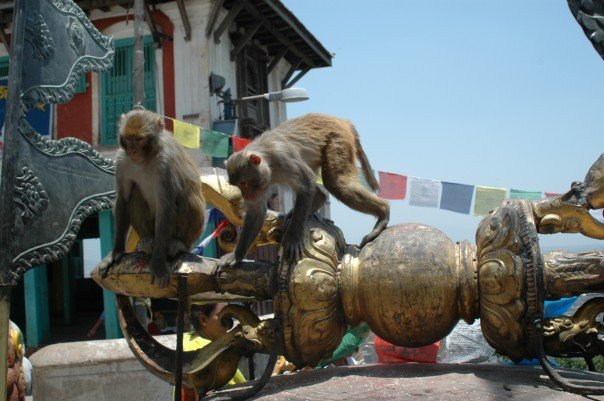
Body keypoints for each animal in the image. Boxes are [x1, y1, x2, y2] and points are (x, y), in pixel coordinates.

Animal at [106, 108, 205, 286]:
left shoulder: (165, 164)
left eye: (139, 139)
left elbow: (166, 207)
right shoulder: (122, 161)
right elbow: (123, 199)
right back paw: (147, 239)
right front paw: (116, 252)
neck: (146, 158)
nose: (132, 151)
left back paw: (178, 244)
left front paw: (158, 265)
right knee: (135, 191)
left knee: (188, 196)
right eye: (128, 139)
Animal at [219, 111, 390, 266]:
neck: (268, 160)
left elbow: (307, 184)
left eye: (244, 183)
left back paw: (383, 211)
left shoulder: (284, 159)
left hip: (338, 140)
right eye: (238, 185)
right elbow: (257, 211)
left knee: (335, 183)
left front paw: (294, 238)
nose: (246, 196)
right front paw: (237, 256)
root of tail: (341, 121)